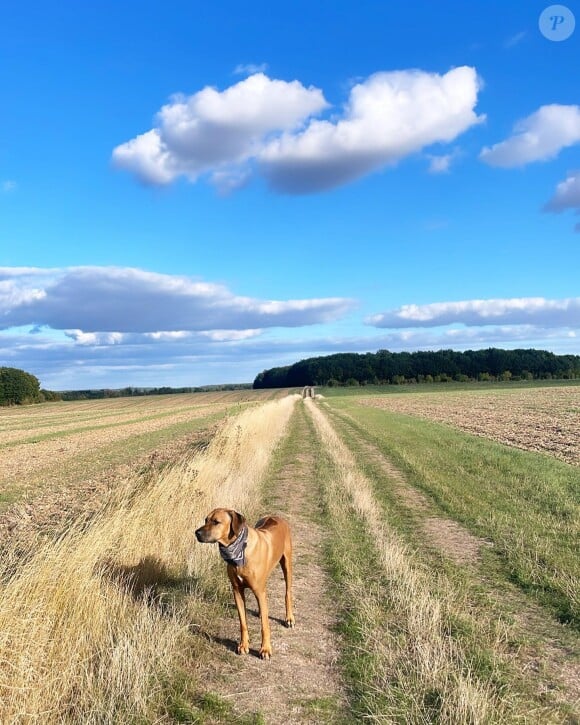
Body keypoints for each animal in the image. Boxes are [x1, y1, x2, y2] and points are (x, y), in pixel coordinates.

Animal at [195, 510, 294, 656]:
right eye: (205, 520)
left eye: (216, 522)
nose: (197, 533)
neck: (239, 549)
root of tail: (276, 517)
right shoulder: (237, 591)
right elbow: (243, 622)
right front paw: (243, 645)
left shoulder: (258, 590)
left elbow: (265, 625)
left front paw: (265, 648)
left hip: (287, 563)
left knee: (287, 592)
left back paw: (289, 618)